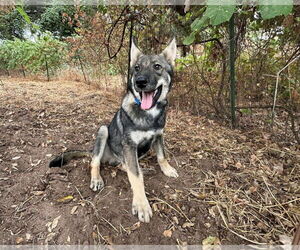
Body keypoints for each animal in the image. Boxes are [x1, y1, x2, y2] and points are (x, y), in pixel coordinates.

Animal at [48, 37, 177, 223]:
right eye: (136, 68)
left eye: (157, 66)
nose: (139, 82)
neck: (148, 113)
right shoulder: (129, 146)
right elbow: (136, 177)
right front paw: (141, 204)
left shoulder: (158, 135)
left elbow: (161, 156)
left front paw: (167, 169)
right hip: (103, 132)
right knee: (95, 161)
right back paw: (97, 179)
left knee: (124, 165)